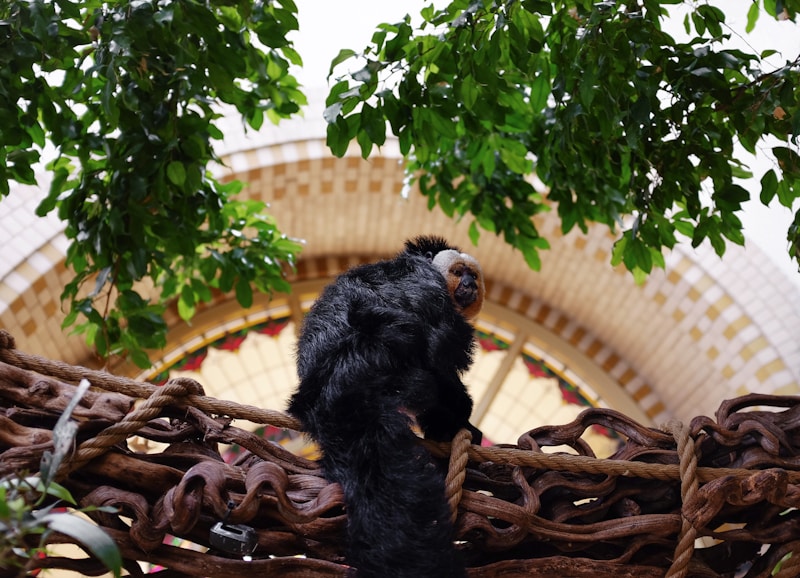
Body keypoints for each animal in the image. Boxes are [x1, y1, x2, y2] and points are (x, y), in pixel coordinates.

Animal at [290, 235, 484, 576]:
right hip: (388, 360)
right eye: (459, 272)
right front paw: (461, 412)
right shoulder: (423, 280)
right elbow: (441, 348)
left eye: (473, 274)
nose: (470, 283)